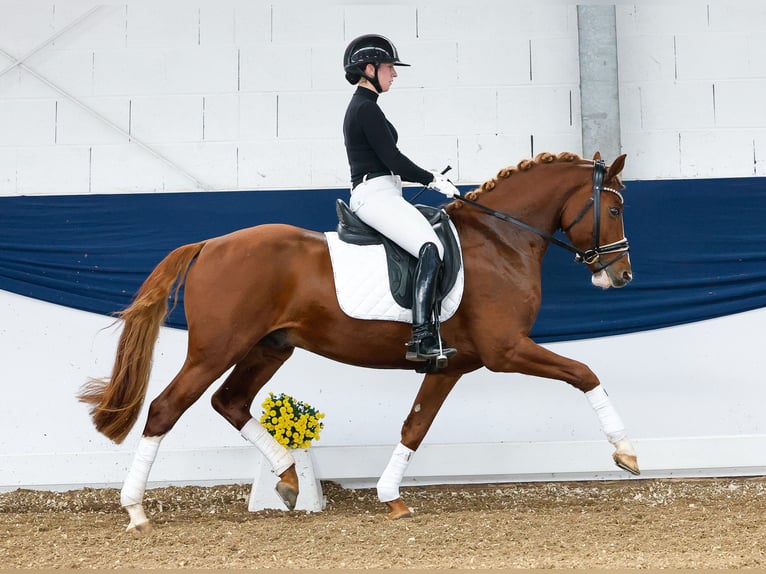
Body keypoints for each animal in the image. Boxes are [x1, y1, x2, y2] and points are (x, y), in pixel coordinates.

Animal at [81, 151, 640, 532]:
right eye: (614, 211)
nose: (623, 276)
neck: (499, 242)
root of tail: (208, 245)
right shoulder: (506, 351)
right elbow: (585, 374)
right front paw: (626, 452)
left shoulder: (453, 365)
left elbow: (415, 427)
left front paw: (391, 496)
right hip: (217, 349)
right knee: (166, 408)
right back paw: (135, 510)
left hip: (269, 347)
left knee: (230, 401)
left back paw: (288, 477)